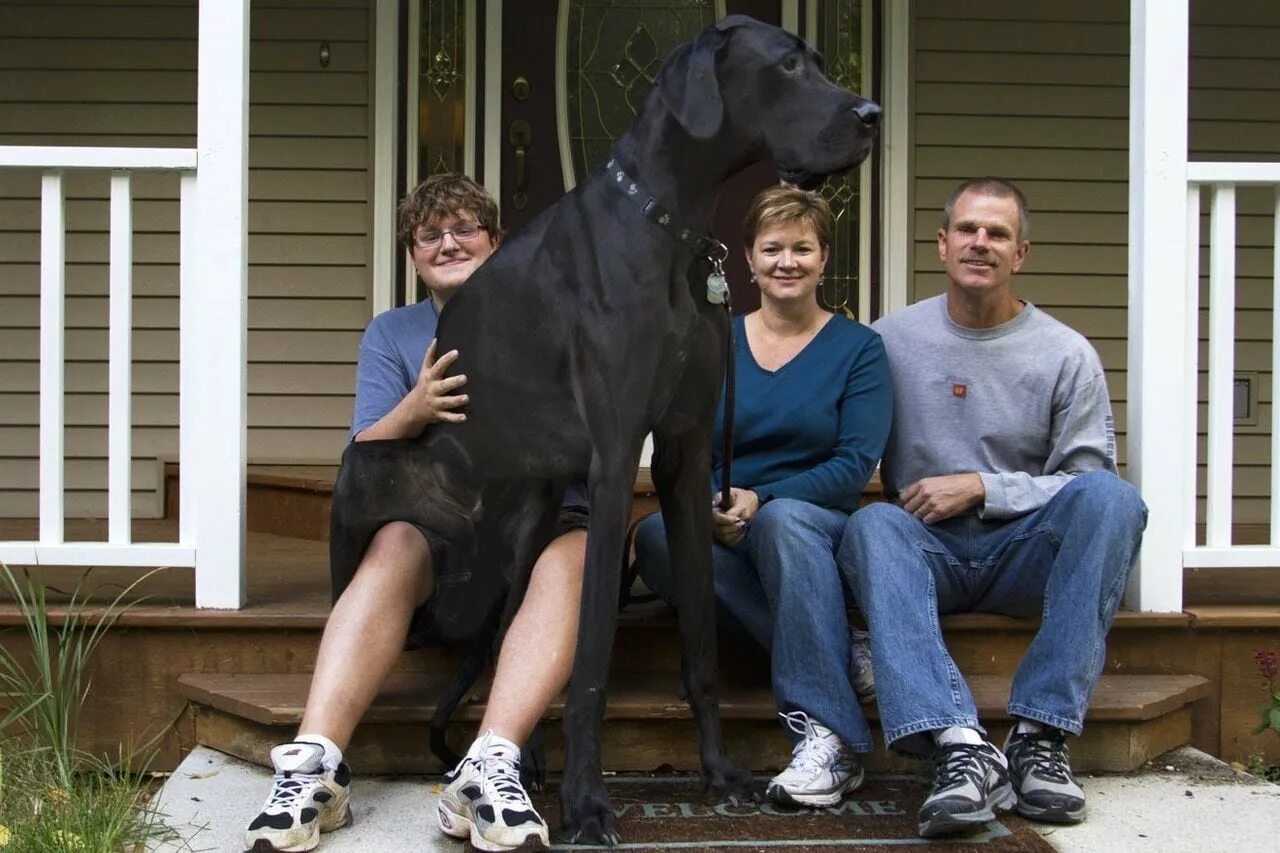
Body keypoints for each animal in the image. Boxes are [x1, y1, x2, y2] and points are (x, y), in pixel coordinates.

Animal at [332, 14, 880, 845]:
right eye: (787, 67)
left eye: (818, 61)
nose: (872, 115)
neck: (673, 227)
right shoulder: (620, 456)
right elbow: (590, 657)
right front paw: (588, 802)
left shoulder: (685, 454)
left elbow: (700, 640)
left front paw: (719, 773)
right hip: (368, 475)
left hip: (531, 519)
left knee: (504, 634)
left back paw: (519, 765)